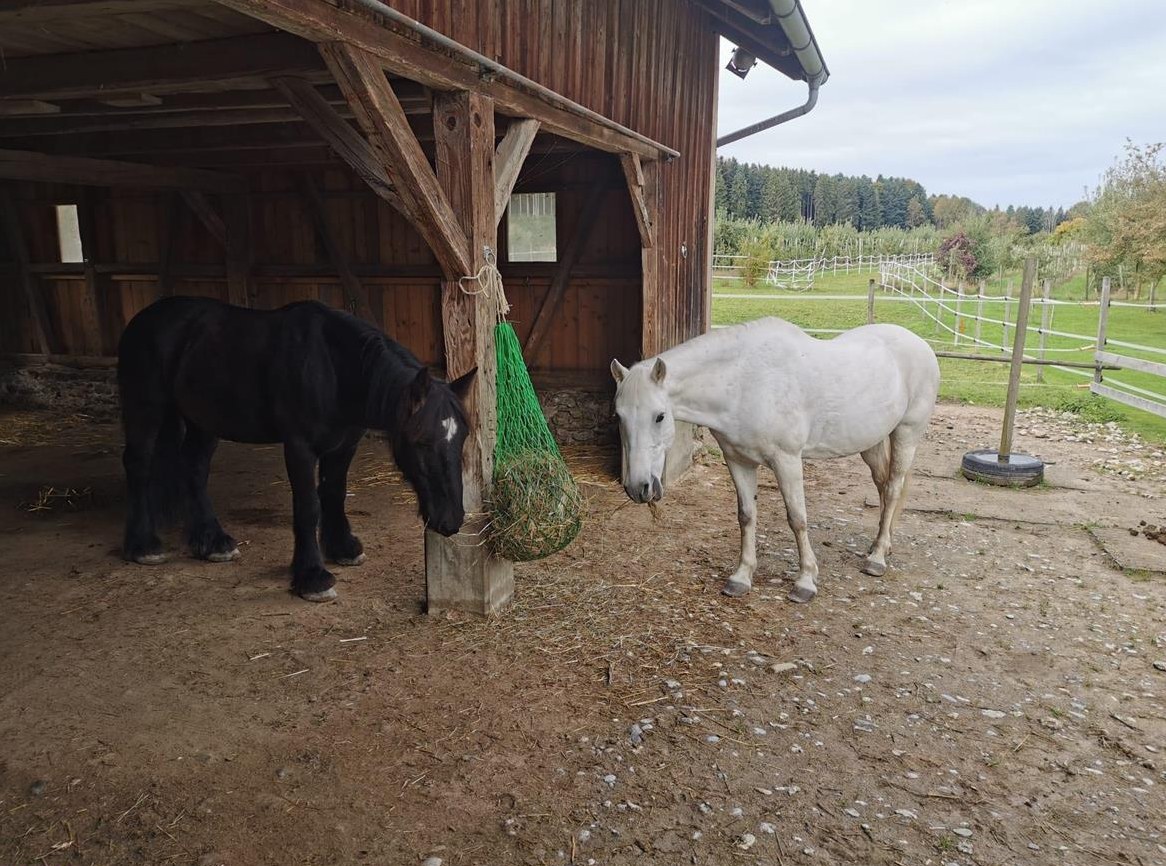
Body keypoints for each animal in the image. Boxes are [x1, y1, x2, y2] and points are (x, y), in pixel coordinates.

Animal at [117, 296, 475, 602]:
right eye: (421, 442)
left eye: (461, 438)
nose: (451, 521)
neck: (333, 369)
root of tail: (144, 319)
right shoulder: (300, 447)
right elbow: (308, 506)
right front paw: (313, 577)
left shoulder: (344, 445)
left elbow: (334, 493)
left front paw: (343, 548)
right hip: (146, 409)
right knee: (138, 465)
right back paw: (143, 545)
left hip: (203, 421)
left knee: (194, 468)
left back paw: (211, 541)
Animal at [611, 317, 939, 604]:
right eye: (619, 416)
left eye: (659, 416)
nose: (638, 487)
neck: (744, 383)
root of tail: (920, 344)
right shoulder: (738, 461)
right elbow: (746, 516)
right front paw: (741, 577)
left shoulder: (787, 461)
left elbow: (797, 519)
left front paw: (805, 582)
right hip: (870, 442)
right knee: (883, 486)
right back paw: (880, 544)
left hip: (907, 433)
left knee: (894, 488)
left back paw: (877, 558)